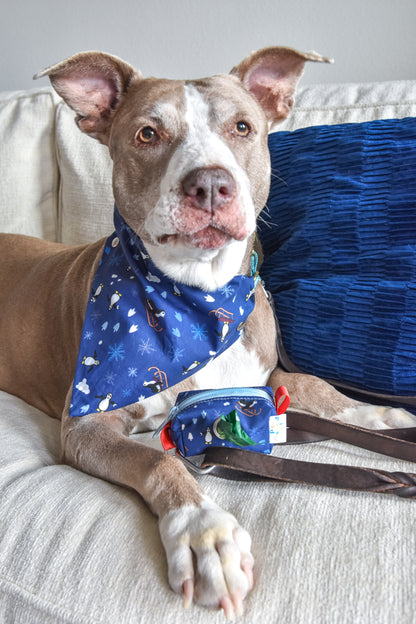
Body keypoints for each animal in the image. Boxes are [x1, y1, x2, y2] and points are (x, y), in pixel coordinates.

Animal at [1, 47, 414, 620]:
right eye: (147, 134)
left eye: (242, 127)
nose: (212, 184)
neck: (199, 300)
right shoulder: (86, 428)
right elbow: (158, 460)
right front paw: (205, 534)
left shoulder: (260, 375)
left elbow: (309, 383)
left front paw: (378, 415)